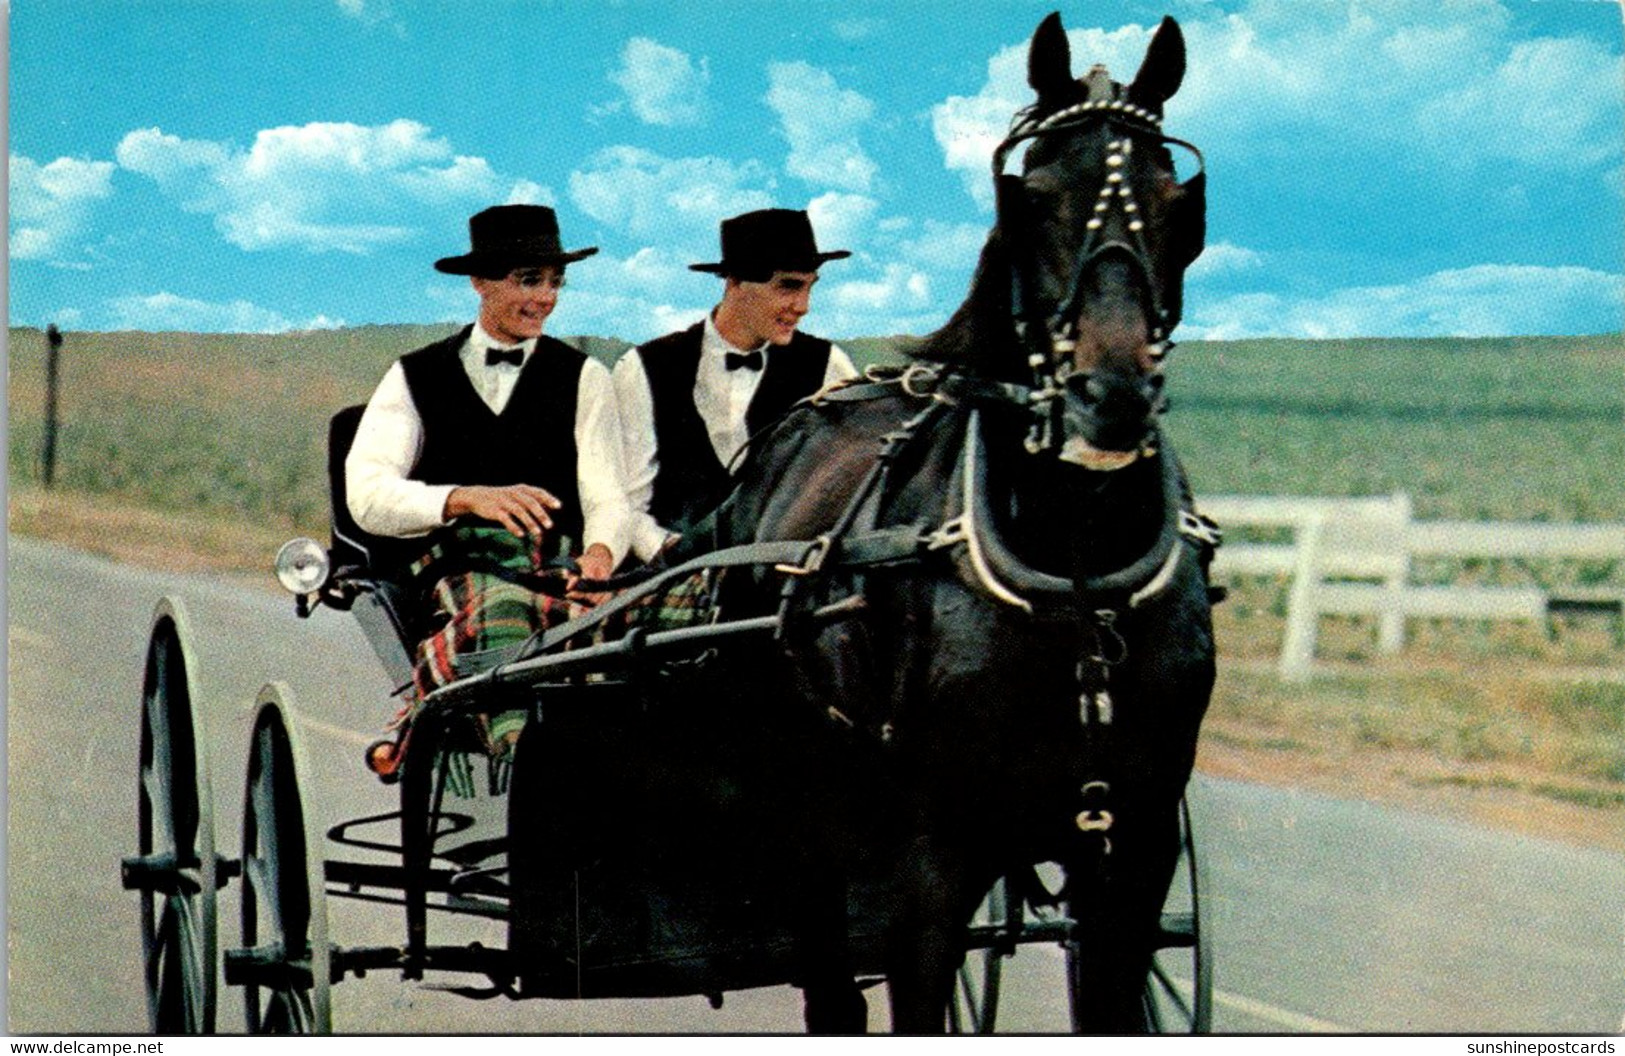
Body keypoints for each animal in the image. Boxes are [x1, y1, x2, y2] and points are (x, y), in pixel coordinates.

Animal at [715, 8, 1222, 1026]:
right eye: (1027, 196)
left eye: (1177, 200)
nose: (1109, 398)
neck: (1076, 573)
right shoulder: (932, 856)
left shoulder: (1135, 846)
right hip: (809, 795)